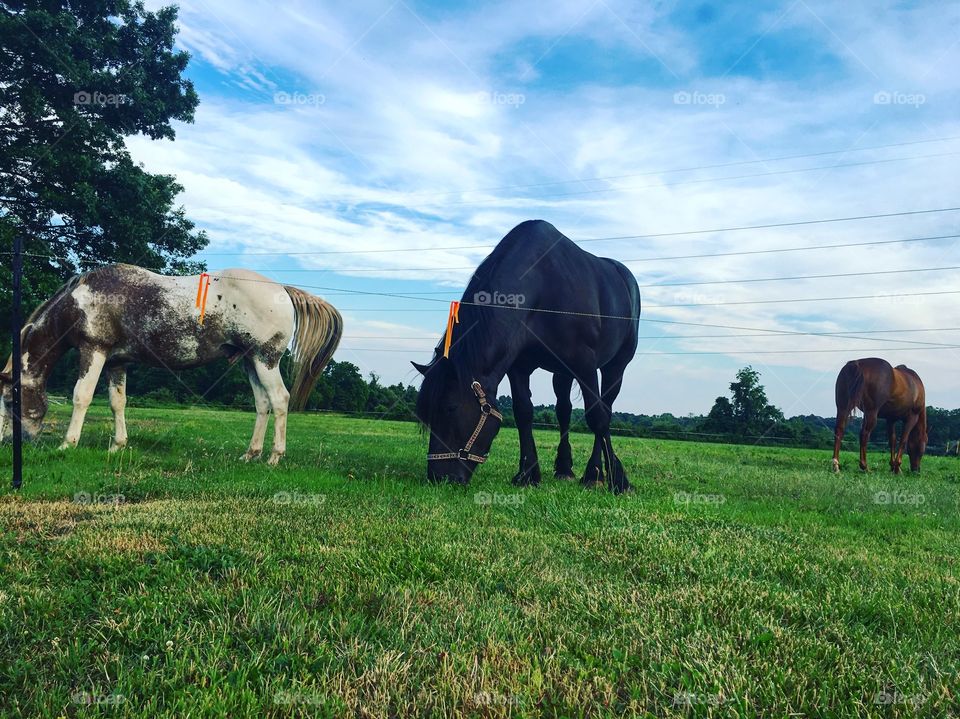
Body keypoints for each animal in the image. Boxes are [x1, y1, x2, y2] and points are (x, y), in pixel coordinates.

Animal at [0, 264, 342, 464]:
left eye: (10, 400)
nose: (6, 442)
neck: (81, 299)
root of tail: (283, 289)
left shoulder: (93, 350)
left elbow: (81, 397)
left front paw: (68, 444)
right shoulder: (116, 363)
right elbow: (117, 403)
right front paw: (118, 445)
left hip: (264, 359)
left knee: (280, 400)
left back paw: (274, 456)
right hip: (250, 362)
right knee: (262, 404)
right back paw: (250, 454)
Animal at [413, 220, 641, 494]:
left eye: (450, 408)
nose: (439, 477)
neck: (543, 287)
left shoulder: (585, 364)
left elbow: (597, 416)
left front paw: (619, 480)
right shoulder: (519, 367)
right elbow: (524, 413)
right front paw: (528, 474)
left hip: (615, 366)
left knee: (605, 406)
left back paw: (593, 473)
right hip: (562, 372)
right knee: (564, 410)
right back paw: (564, 469)